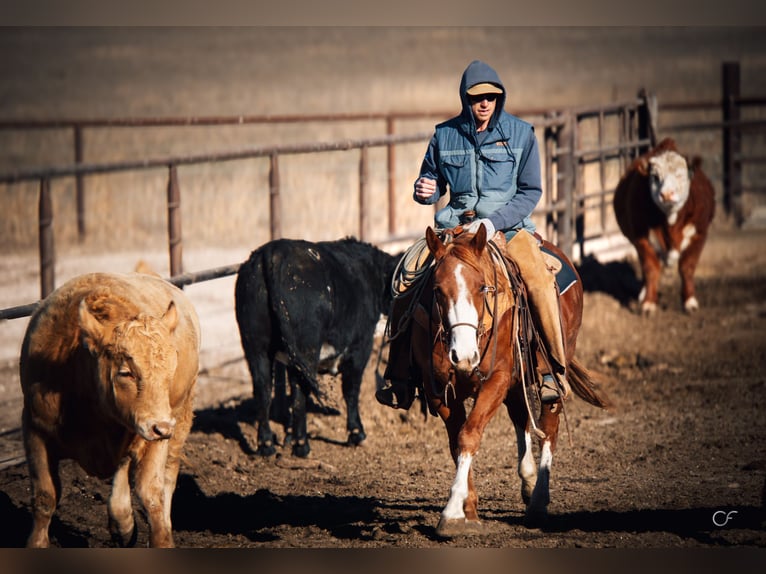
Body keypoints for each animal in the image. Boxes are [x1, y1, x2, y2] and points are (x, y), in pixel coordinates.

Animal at [20, 272, 201, 552]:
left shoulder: (150, 434)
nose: (162, 427)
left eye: (170, 370)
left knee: (165, 477)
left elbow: (151, 492)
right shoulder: (35, 428)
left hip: (179, 419)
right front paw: (37, 542)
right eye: (126, 372)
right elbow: (44, 495)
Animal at [236, 237, 402, 460]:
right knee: (299, 394)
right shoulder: (361, 346)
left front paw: (288, 435)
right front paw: (356, 433)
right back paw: (302, 446)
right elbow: (351, 390)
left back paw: (267, 445)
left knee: (264, 390)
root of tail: (275, 250)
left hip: (256, 349)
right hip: (306, 349)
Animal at [412, 226, 608, 540]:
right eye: (437, 290)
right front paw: (469, 509)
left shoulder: (497, 380)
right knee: (520, 417)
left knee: (548, 427)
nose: (463, 355)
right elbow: (457, 442)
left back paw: (538, 501)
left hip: (554, 369)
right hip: (517, 382)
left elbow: (469, 435)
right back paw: (528, 479)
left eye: (482, 287)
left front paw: (453, 512)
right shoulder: (440, 392)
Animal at [616, 138, 716, 316]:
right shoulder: (640, 237)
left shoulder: (699, 234)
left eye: (680, 175)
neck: (670, 223)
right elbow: (651, 269)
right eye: (655, 177)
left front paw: (689, 301)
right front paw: (648, 302)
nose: (667, 194)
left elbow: (687, 268)